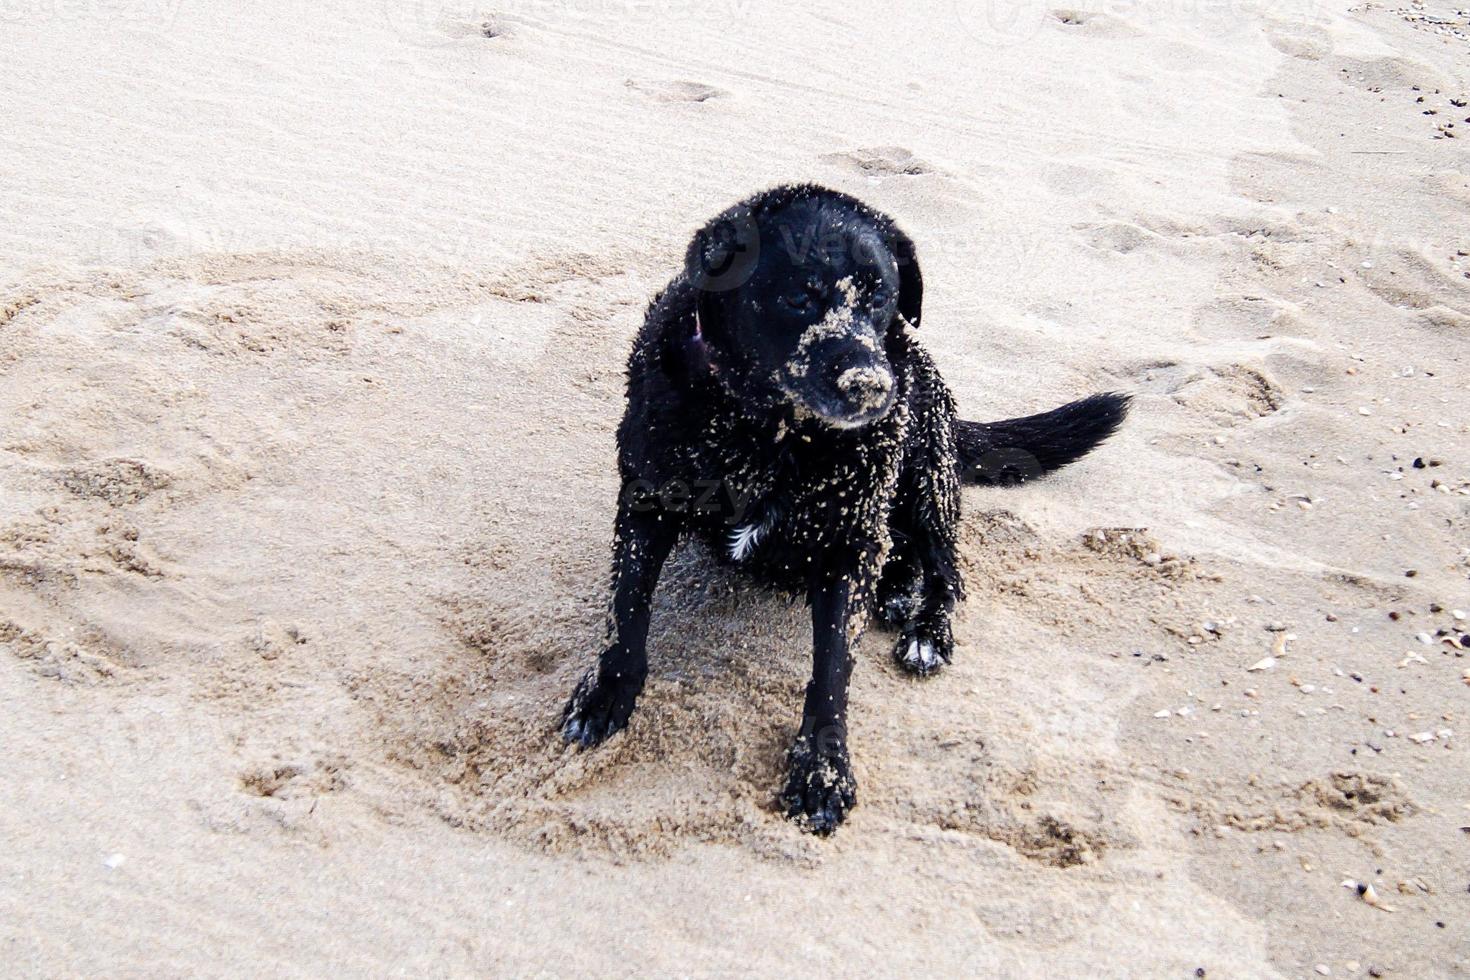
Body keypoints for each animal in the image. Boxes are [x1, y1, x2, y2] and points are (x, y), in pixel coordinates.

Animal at [558, 185, 1123, 834]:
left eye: (879, 297)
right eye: (798, 297)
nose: (870, 386)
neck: (769, 433)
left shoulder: (847, 547)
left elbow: (831, 671)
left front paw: (823, 771)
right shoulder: (646, 500)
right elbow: (626, 610)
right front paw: (606, 695)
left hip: (928, 475)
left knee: (946, 571)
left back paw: (926, 627)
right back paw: (897, 590)